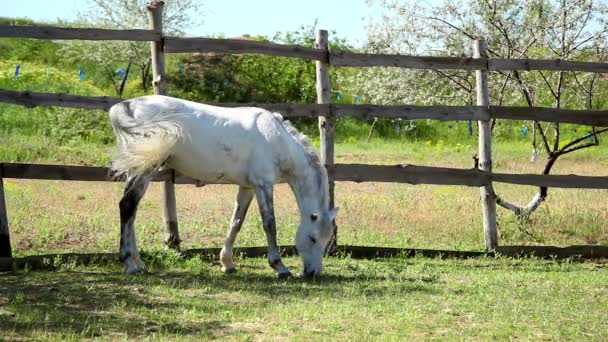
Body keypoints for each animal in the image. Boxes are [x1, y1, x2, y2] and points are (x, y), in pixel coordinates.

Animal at [109, 94, 338, 278]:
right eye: (313, 238)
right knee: (127, 205)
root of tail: (126, 106)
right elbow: (270, 225)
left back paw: (138, 262)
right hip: (145, 169)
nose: (313, 273)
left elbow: (236, 222)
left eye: (327, 239)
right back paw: (129, 263)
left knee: (132, 211)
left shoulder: (248, 188)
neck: (275, 138)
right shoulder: (263, 186)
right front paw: (280, 267)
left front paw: (227, 263)